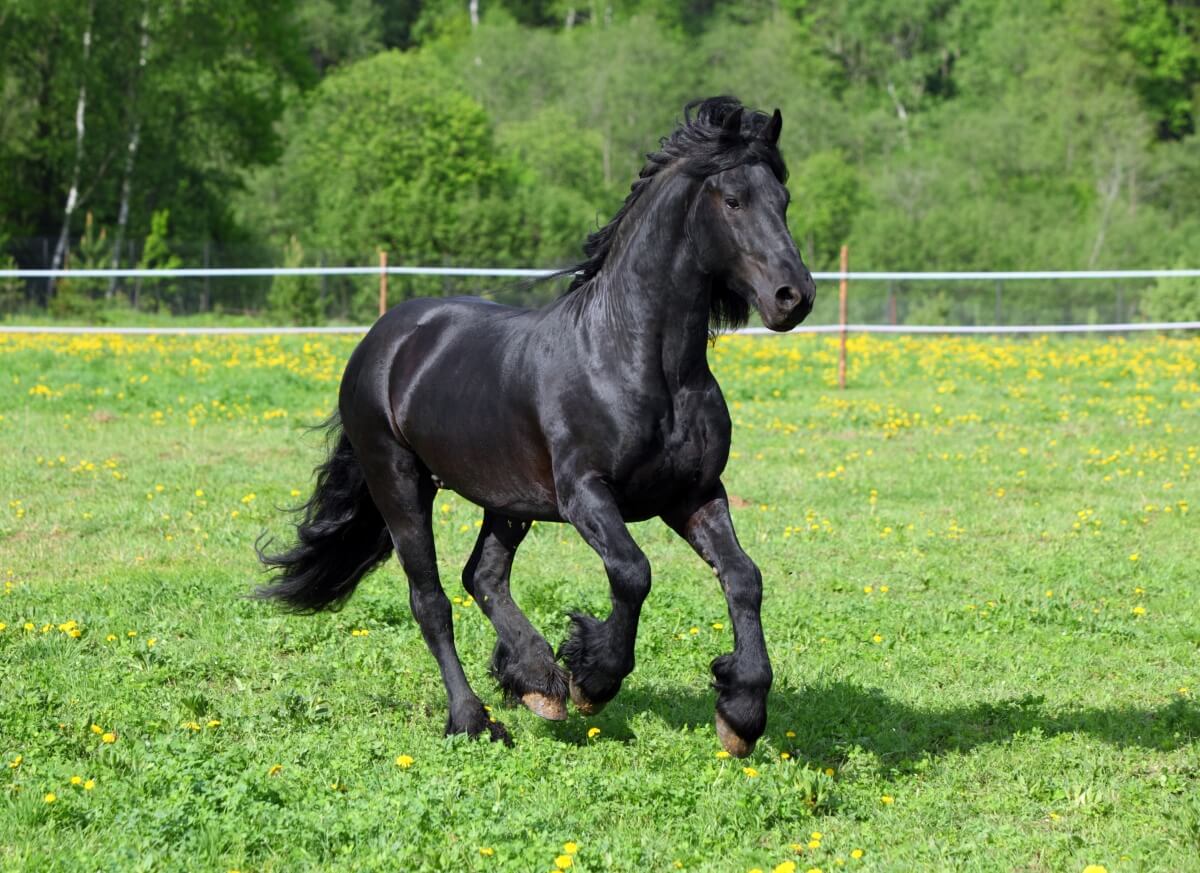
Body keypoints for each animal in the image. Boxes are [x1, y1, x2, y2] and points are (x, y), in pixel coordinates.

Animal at [257, 96, 815, 758]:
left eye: (783, 199)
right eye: (732, 200)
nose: (793, 297)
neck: (638, 360)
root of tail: (383, 339)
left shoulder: (694, 494)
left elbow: (744, 578)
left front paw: (741, 712)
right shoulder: (585, 495)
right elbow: (633, 572)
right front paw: (594, 677)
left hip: (509, 500)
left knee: (483, 576)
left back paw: (535, 680)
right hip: (399, 482)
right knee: (431, 599)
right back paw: (475, 718)